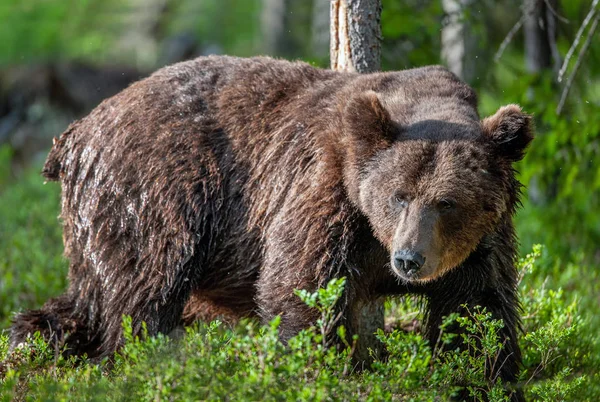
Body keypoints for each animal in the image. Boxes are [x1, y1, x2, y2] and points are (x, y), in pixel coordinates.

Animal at [9, 55, 532, 398]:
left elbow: (477, 309)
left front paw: (485, 373)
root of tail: (77, 131)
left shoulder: (480, 243)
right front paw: (320, 367)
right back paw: (136, 359)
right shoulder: (323, 190)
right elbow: (301, 284)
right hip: (154, 190)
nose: (408, 260)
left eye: (447, 202)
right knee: (143, 288)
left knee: (90, 294)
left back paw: (34, 338)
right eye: (397, 195)